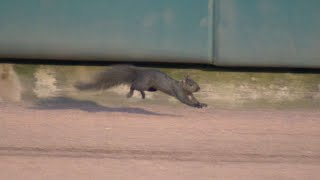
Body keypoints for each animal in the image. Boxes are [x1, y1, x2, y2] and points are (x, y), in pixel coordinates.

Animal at [74, 65, 208, 109]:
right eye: (191, 84)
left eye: (196, 82)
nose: (199, 88)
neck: (181, 85)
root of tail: (139, 72)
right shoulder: (179, 92)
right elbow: (185, 100)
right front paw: (196, 106)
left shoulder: (190, 93)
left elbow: (194, 98)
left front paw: (201, 103)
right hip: (143, 83)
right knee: (133, 85)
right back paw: (130, 94)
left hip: (149, 86)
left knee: (139, 88)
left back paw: (143, 95)